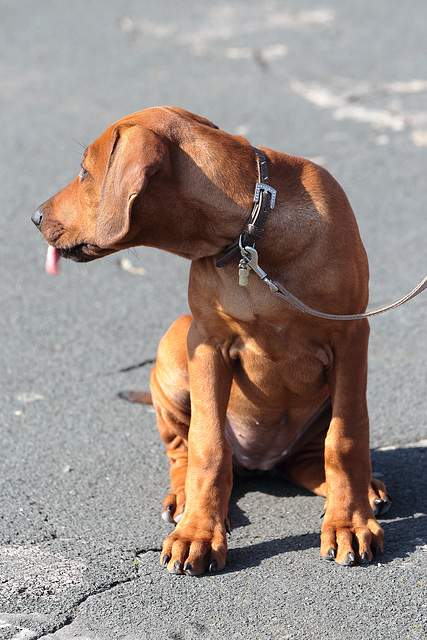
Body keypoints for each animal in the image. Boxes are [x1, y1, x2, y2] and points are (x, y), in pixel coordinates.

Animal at [31, 105, 390, 576]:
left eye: (84, 172)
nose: (35, 216)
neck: (249, 235)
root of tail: (259, 460)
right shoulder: (206, 343)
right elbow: (208, 447)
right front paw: (198, 534)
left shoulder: (350, 336)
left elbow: (345, 439)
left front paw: (349, 522)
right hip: (173, 347)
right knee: (183, 450)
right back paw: (184, 499)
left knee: (310, 456)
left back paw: (360, 490)